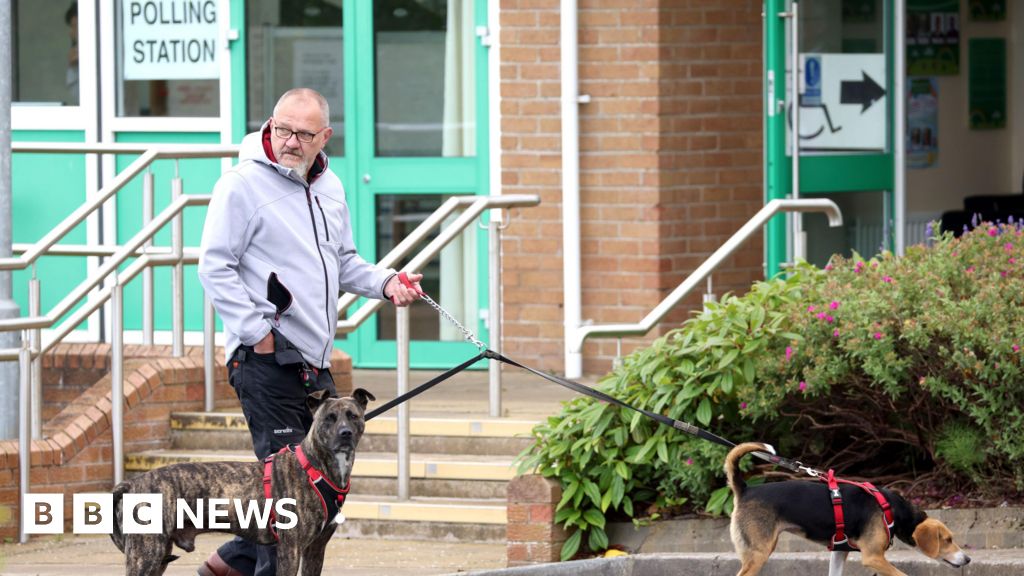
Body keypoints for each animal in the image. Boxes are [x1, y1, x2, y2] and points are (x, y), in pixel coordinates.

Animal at [111, 385, 372, 573]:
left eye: (353, 416)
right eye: (329, 418)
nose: (345, 434)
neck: (315, 467)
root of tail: (133, 484)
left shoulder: (315, 550)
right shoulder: (290, 549)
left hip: (157, 556)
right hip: (146, 554)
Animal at [724, 440, 970, 569]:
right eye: (947, 540)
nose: (968, 559)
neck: (891, 509)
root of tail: (745, 488)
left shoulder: (839, 553)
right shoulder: (873, 558)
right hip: (758, 554)